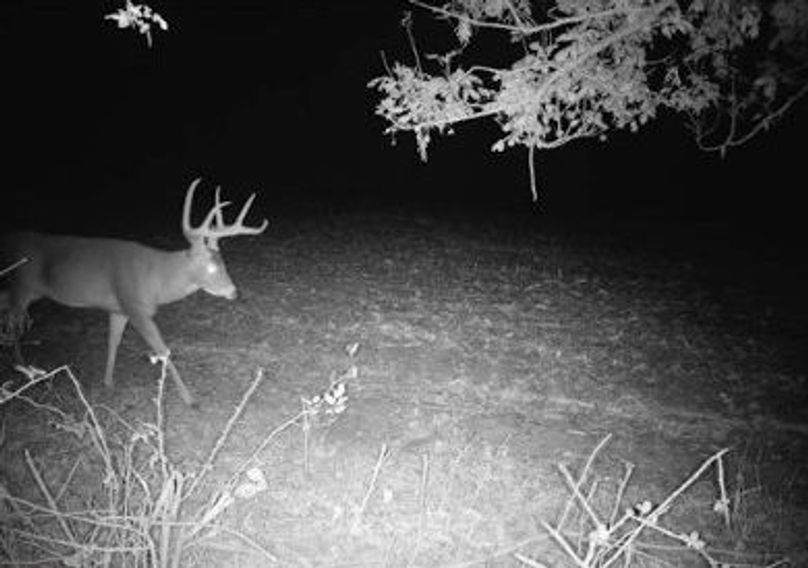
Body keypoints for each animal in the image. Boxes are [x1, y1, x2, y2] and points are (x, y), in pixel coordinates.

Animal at [0, 178, 268, 406]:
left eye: (224, 263)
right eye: (211, 267)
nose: (234, 292)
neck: (156, 279)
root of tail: (11, 238)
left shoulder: (119, 308)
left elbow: (114, 342)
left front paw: (108, 382)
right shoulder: (136, 307)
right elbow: (163, 351)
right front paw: (189, 399)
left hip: (22, 290)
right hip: (22, 286)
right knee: (13, 323)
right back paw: (24, 369)